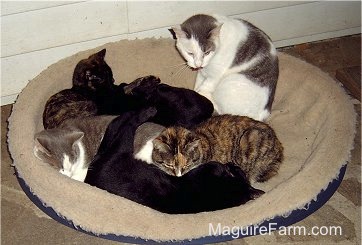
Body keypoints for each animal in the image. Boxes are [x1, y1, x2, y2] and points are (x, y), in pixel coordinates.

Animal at [84, 108, 264, 213]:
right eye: (240, 172)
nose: (232, 164)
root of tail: (91, 175)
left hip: (121, 146)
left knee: (124, 123)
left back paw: (146, 110)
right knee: (121, 123)